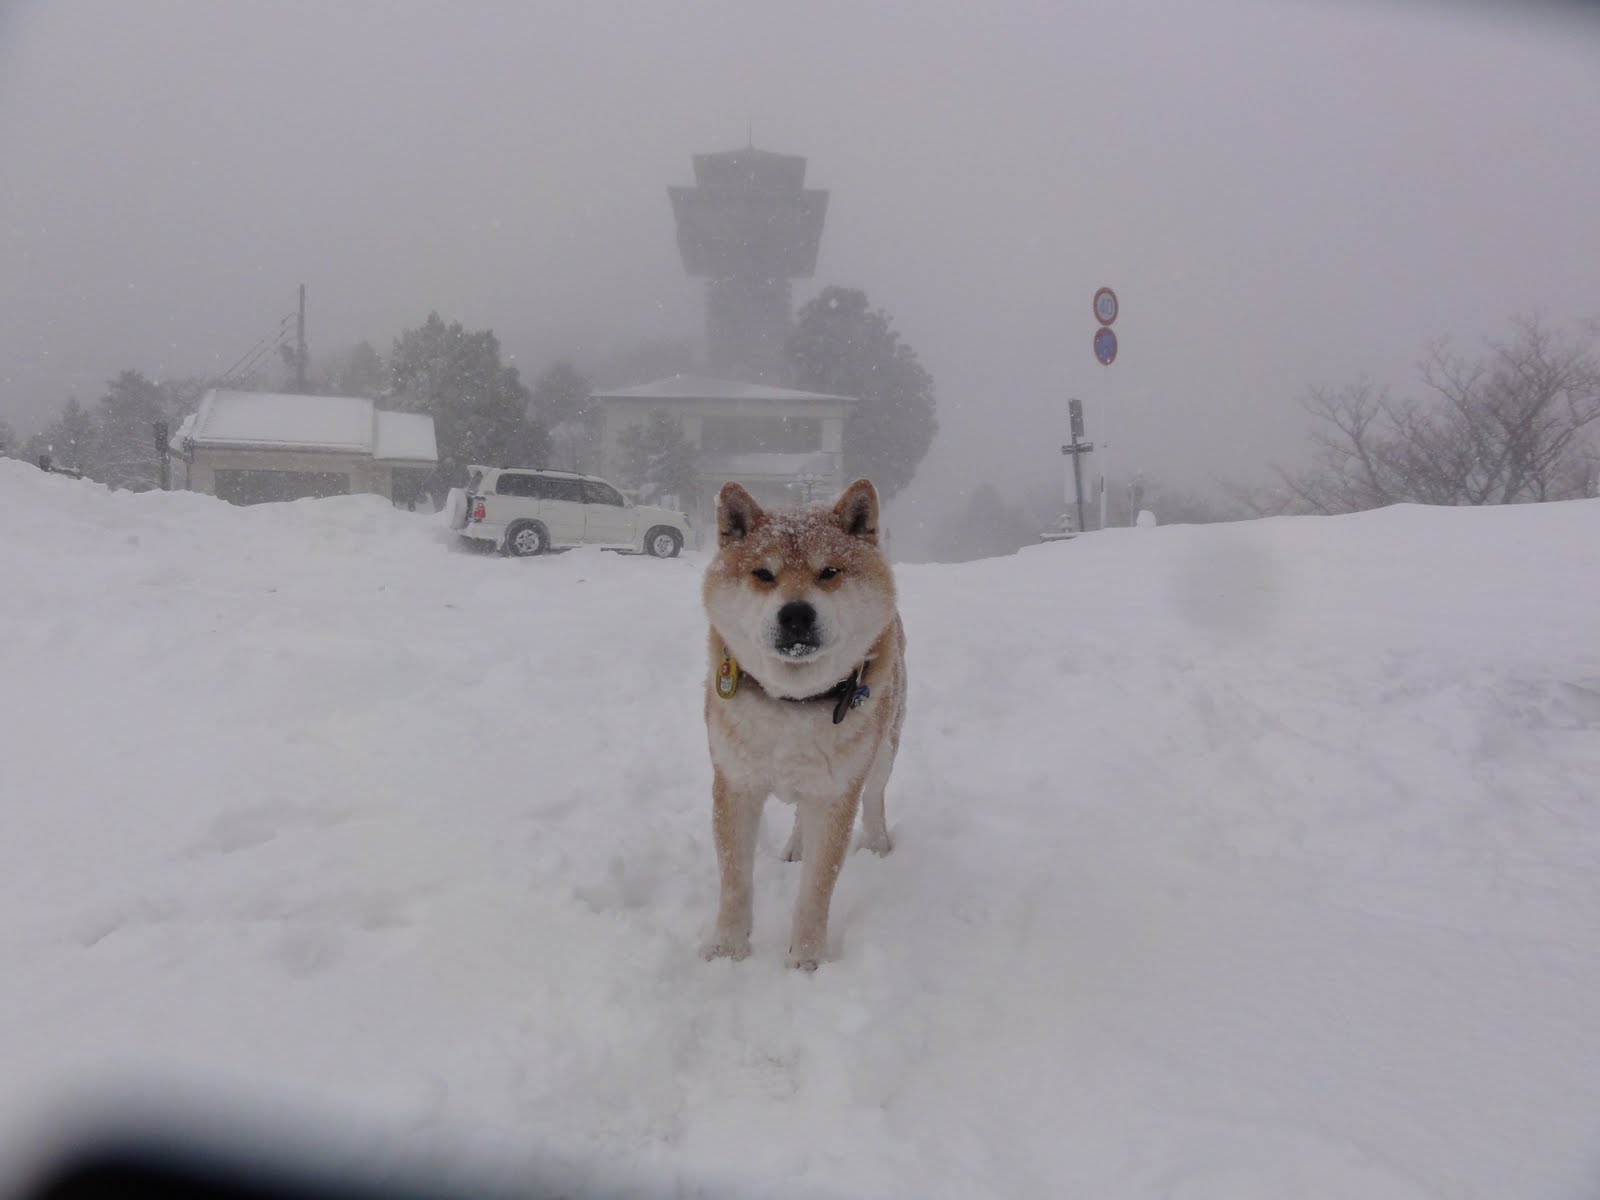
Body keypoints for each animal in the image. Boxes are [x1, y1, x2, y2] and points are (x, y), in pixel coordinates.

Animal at [697, 473, 908, 972]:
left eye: (829, 572)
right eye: (763, 574)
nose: (795, 613)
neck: (792, 704)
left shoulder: (835, 795)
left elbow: (816, 888)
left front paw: (806, 958)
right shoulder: (735, 783)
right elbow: (734, 879)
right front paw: (729, 948)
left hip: (884, 749)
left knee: (875, 798)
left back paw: (876, 842)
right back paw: (795, 845)